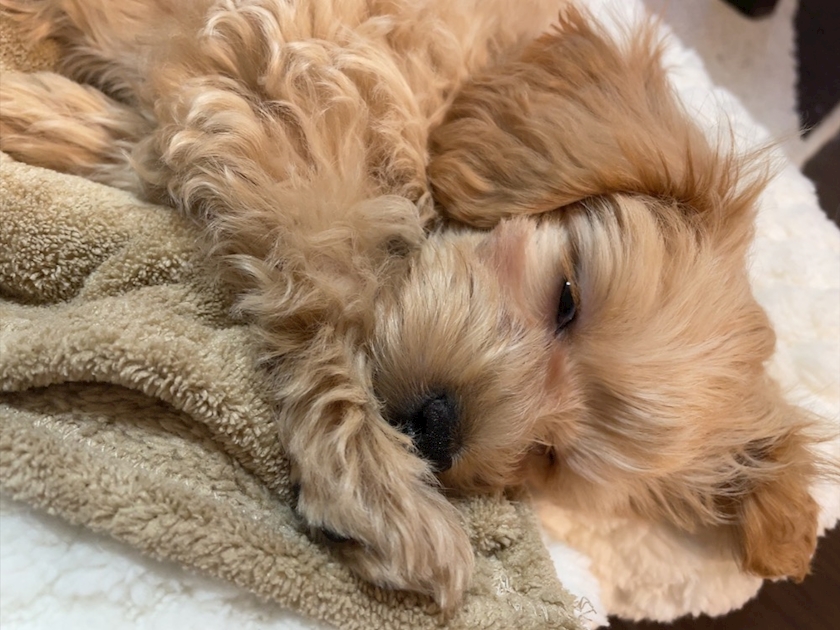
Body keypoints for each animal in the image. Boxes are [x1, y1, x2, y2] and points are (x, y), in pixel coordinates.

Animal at [0, 0, 825, 613]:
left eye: (548, 456)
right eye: (567, 298)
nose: (435, 431)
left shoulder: (231, 99)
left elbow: (149, 151)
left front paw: (47, 117)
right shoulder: (293, 67)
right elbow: (333, 274)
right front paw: (371, 479)